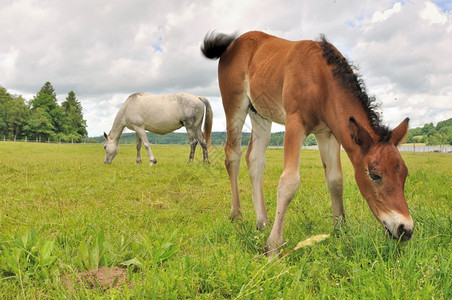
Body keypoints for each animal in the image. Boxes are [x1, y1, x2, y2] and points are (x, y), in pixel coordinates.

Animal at [203, 29, 414, 255]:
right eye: (375, 175)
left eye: (404, 174)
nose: (405, 229)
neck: (321, 78)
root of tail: (232, 44)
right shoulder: (295, 123)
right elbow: (288, 182)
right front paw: (273, 246)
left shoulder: (328, 134)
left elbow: (335, 180)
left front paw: (341, 231)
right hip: (234, 104)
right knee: (233, 154)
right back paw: (237, 215)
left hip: (260, 114)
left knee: (255, 159)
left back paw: (262, 222)